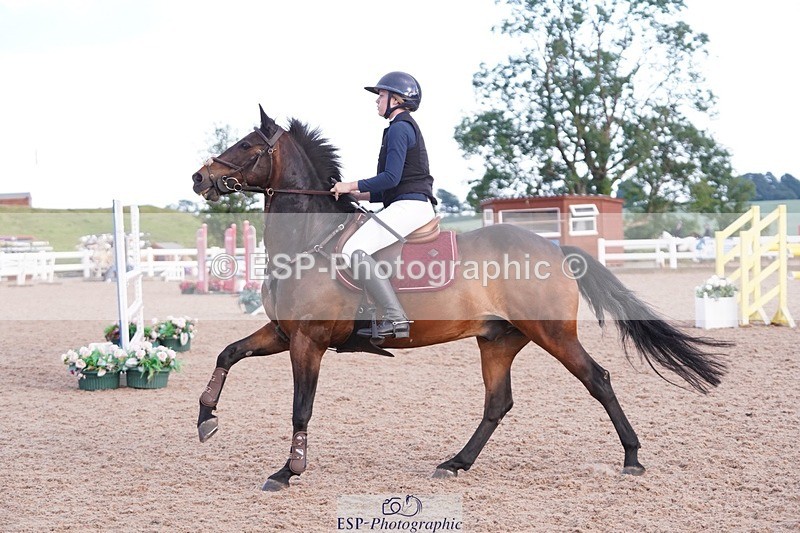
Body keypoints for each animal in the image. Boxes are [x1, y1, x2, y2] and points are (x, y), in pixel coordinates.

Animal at [191, 105, 729, 491]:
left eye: (246, 146)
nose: (199, 178)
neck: (308, 240)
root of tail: (556, 248)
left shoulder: (309, 341)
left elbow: (300, 407)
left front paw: (288, 470)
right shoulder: (282, 333)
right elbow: (228, 354)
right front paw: (206, 418)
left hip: (552, 334)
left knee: (597, 380)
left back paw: (632, 458)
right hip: (498, 340)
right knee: (497, 403)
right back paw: (455, 463)